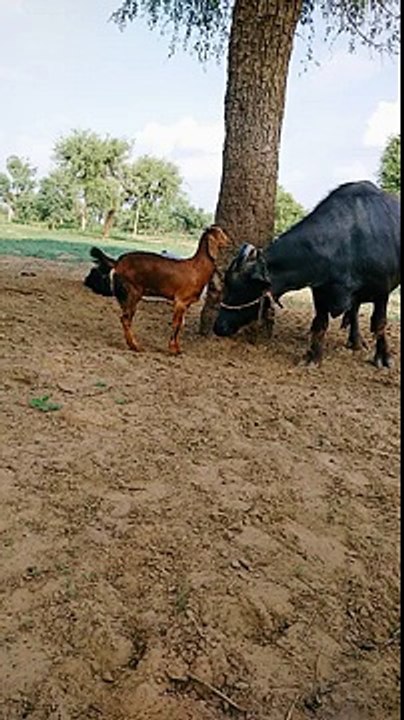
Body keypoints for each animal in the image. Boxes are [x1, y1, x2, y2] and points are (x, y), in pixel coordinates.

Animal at [214, 181, 400, 367]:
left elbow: (379, 323)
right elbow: (320, 323)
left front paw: (383, 357)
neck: (347, 241)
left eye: (245, 288)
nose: (219, 326)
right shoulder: (320, 290)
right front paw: (312, 357)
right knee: (353, 311)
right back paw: (355, 342)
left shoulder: (382, 291)